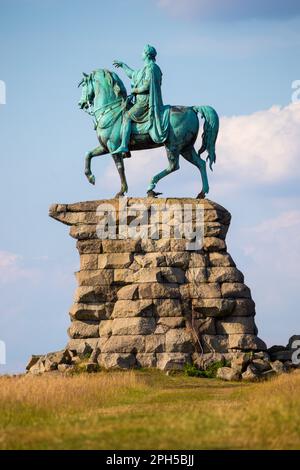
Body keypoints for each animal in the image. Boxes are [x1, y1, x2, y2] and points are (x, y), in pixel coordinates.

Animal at [77, 69, 218, 197]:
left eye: (84, 85)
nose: (80, 103)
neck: (111, 111)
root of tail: (191, 108)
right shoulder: (105, 147)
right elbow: (88, 154)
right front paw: (90, 177)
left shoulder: (113, 146)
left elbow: (120, 167)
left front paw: (121, 191)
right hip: (186, 148)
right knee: (201, 163)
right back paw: (202, 193)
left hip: (173, 145)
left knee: (174, 166)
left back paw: (151, 187)